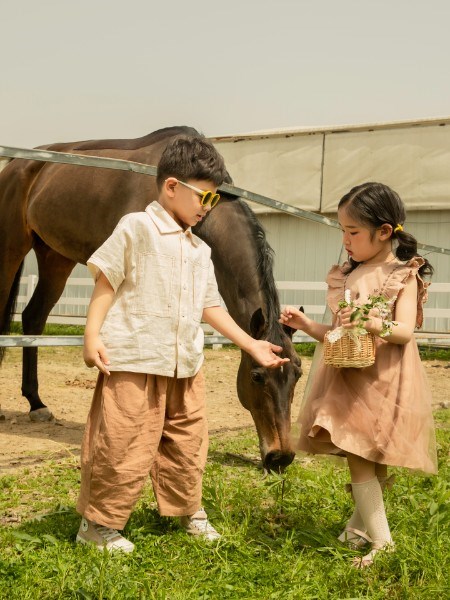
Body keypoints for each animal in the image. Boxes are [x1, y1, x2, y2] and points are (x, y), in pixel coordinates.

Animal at [0, 127, 302, 474]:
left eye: (297, 373)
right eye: (256, 376)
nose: (281, 457)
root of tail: (15, 165)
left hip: (54, 257)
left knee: (34, 317)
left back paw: (37, 404)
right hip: (11, 246)